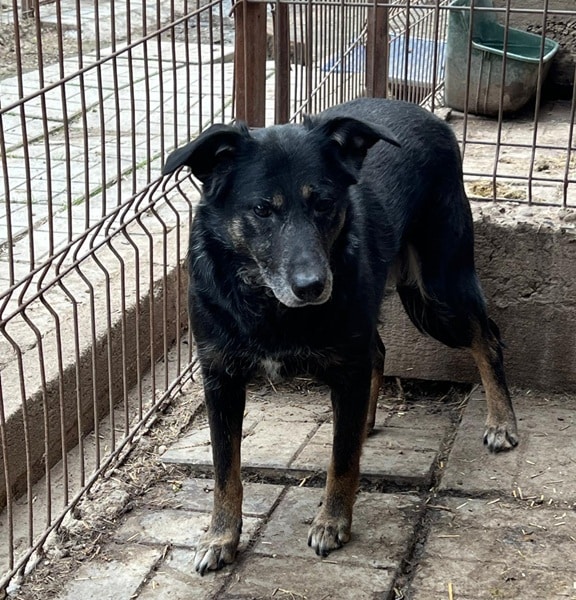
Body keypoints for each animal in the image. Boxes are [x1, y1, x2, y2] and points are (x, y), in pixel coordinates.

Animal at [162, 98, 518, 575]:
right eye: (262, 210)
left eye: (324, 203)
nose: (313, 286)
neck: (267, 303)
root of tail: (431, 118)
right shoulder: (220, 379)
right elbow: (225, 470)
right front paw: (220, 537)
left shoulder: (347, 366)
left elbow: (342, 460)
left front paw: (332, 522)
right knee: (381, 353)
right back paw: (366, 421)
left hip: (439, 292)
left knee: (488, 338)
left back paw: (501, 422)